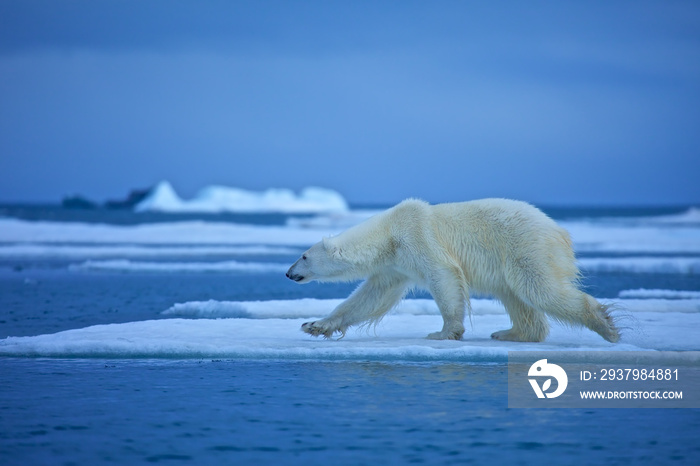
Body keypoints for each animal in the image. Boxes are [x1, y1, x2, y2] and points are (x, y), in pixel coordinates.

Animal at [284, 198, 616, 342]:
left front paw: (444, 332)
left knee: (539, 289)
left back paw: (606, 326)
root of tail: (559, 231)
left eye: (303, 256)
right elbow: (371, 297)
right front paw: (315, 325)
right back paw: (510, 333)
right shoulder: (395, 264)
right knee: (516, 297)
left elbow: (442, 277)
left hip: (525, 247)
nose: (288, 273)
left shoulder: (417, 237)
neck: (389, 233)